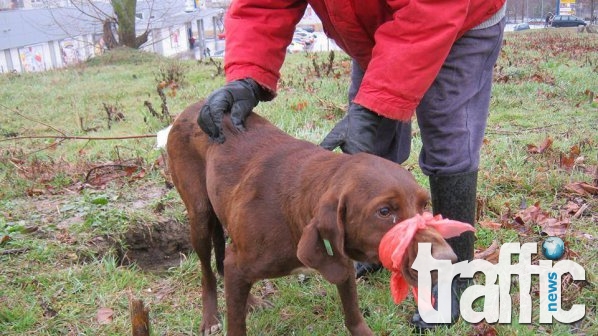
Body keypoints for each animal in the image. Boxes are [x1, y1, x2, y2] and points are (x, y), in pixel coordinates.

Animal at [166, 102, 458, 336]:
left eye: (424, 204)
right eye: (384, 212)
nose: (447, 259)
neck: (294, 214)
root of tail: (192, 108)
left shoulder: (341, 263)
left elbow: (354, 317)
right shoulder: (241, 263)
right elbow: (235, 323)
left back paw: (251, 303)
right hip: (200, 216)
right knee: (208, 270)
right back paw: (210, 317)